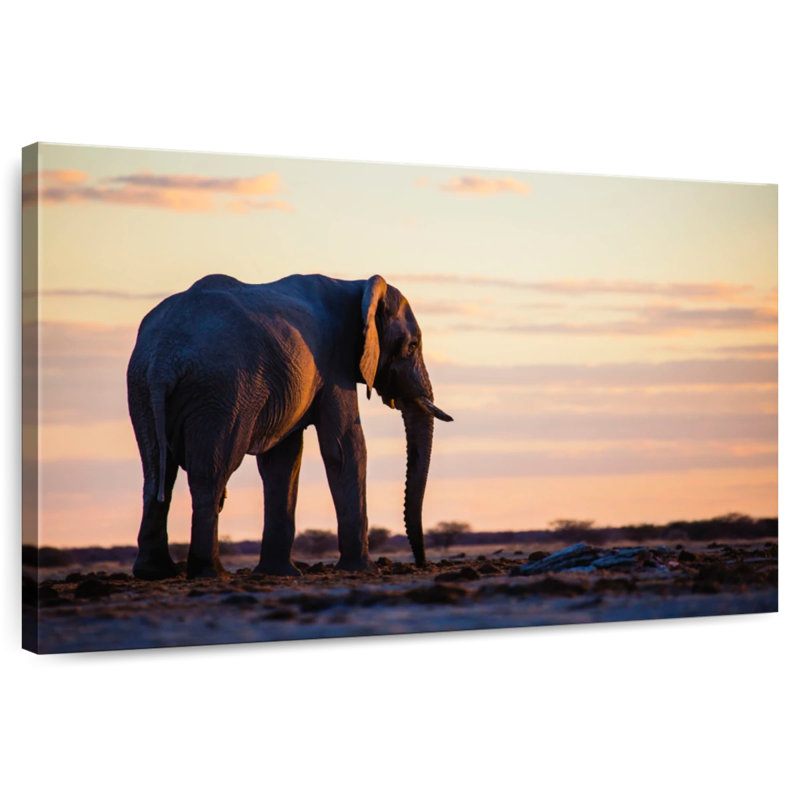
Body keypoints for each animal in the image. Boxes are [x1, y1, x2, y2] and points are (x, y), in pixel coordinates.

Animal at [127, 273, 453, 579]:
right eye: (412, 345)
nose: (422, 564)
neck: (357, 287)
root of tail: (163, 357)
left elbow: (283, 461)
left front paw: (278, 573)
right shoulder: (335, 364)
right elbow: (344, 447)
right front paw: (361, 570)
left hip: (142, 388)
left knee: (155, 473)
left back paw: (155, 572)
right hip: (220, 391)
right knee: (211, 473)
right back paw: (212, 572)